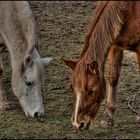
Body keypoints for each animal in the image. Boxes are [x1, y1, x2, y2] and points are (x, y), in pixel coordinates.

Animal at [62, 1, 140, 130]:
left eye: (91, 91)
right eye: (71, 87)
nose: (78, 123)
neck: (130, 10)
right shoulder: (115, 45)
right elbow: (113, 78)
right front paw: (108, 118)